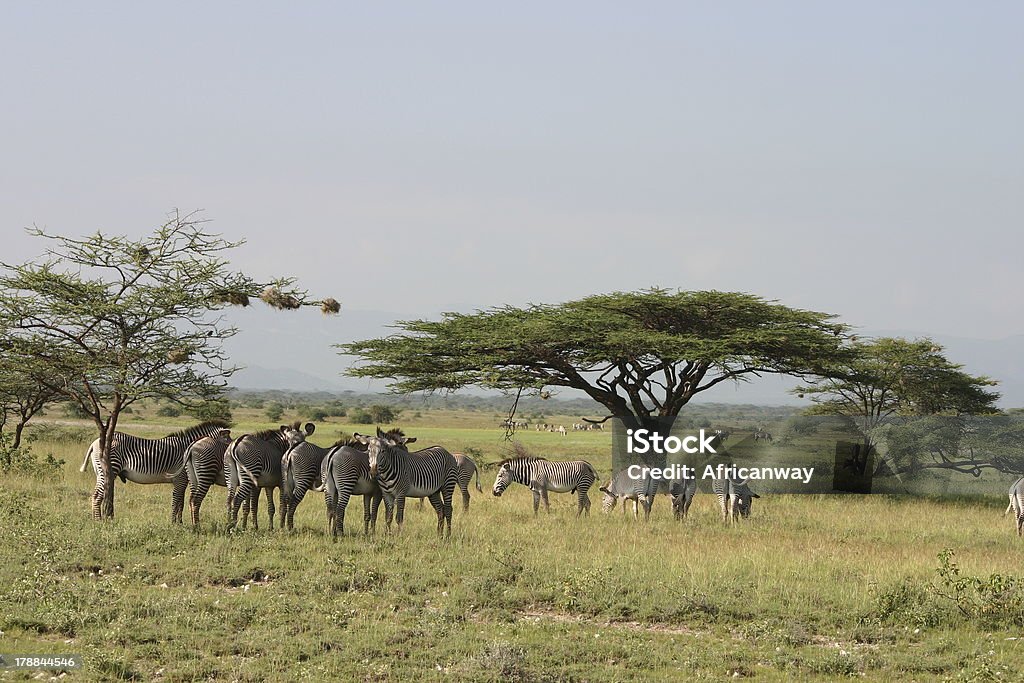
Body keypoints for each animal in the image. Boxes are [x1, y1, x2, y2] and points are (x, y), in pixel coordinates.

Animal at [79, 419, 232, 520]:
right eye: (228, 442)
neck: (190, 447)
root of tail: (95, 442)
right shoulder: (180, 479)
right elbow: (177, 502)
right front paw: (175, 524)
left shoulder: (183, 481)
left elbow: (181, 503)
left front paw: (179, 523)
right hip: (109, 469)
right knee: (97, 496)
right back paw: (98, 521)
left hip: (102, 472)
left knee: (96, 495)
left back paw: (95, 520)